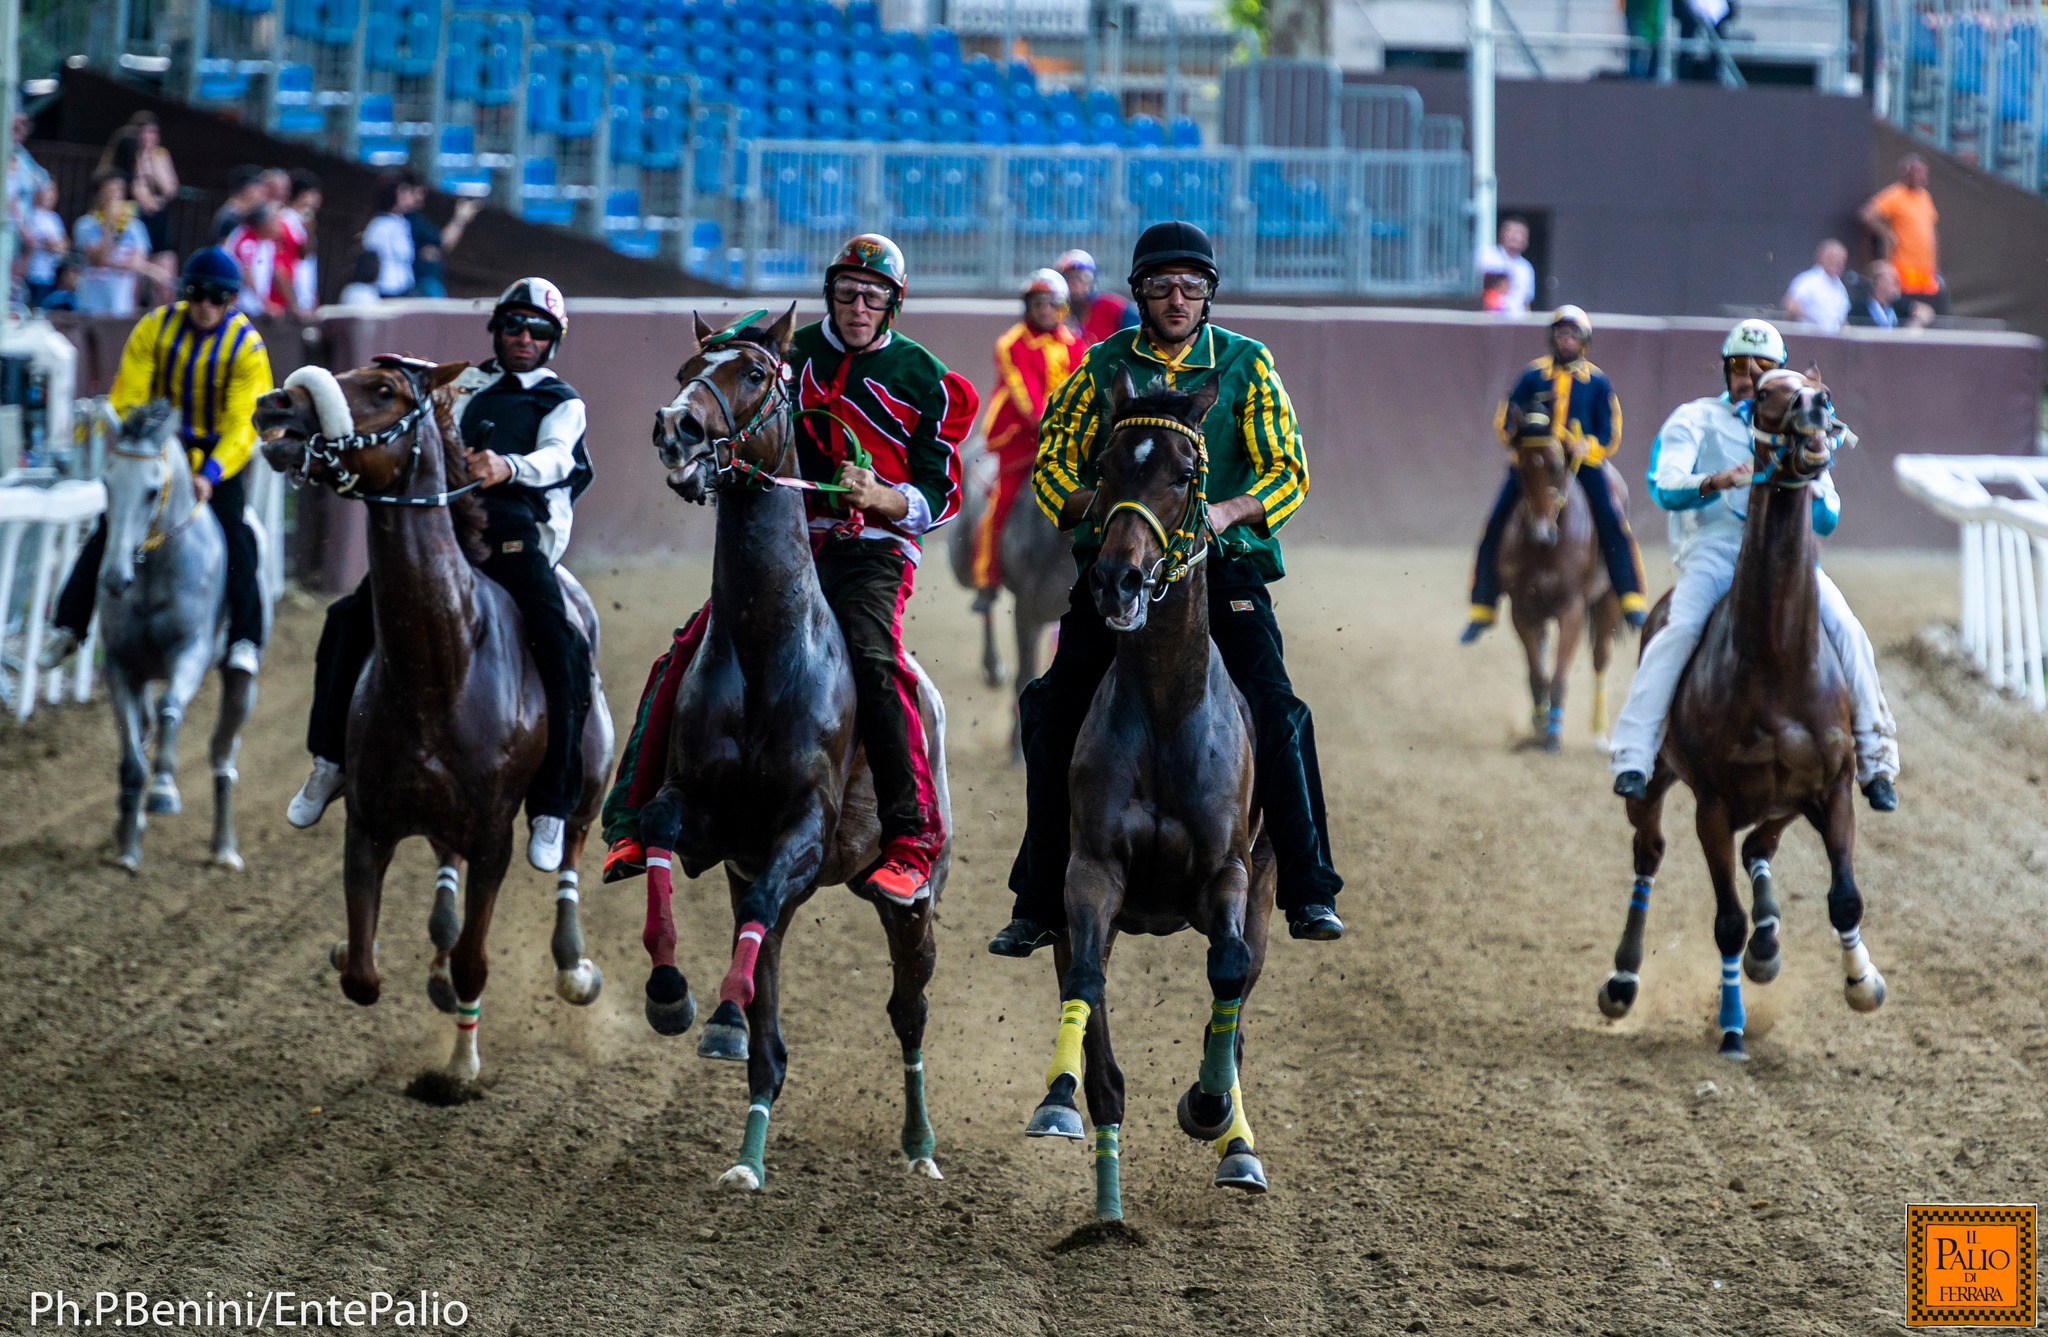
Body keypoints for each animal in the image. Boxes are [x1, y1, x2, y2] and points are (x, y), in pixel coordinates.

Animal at [94, 401, 260, 872]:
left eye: (152, 491)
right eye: (107, 481)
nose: (114, 578)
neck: (153, 572)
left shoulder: (191, 651)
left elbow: (171, 706)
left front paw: (164, 790)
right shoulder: (121, 666)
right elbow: (132, 756)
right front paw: (128, 848)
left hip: (241, 684)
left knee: (223, 754)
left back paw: (224, 848)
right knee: (145, 731)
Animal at [643, 305, 954, 1187]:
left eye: (753, 371)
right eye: (686, 368)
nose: (675, 427)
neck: (765, 645)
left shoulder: (803, 834)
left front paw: (717, 1007)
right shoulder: (709, 821)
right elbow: (658, 838)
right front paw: (673, 994)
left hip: (912, 898)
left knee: (909, 1008)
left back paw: (921, 1146)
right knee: (771, 1034)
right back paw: (746, 1147)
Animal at [1024, 372, 1277, 1220]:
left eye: (1186, 474)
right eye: (1105, 466)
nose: (1118, 578)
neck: (1168, 709)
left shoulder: (1230, 871)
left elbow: (1227, 974)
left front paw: (1208, 1106)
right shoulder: (1090, 870)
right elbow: (1086, 984)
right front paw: (1060, 1096)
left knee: (1239, 998)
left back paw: (1237, 1143)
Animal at [1490, 413, 1613, 745]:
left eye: (1556, 466)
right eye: (1520, 467)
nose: (1541, 532)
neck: (1546, 549)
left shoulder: (1572, 608)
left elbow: (1559, 674)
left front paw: (1553, 733)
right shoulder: (1523, 609)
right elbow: (1537, 673)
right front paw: (1541, 721)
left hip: (1606, 601)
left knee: (1600, 658)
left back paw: (1600, 732)